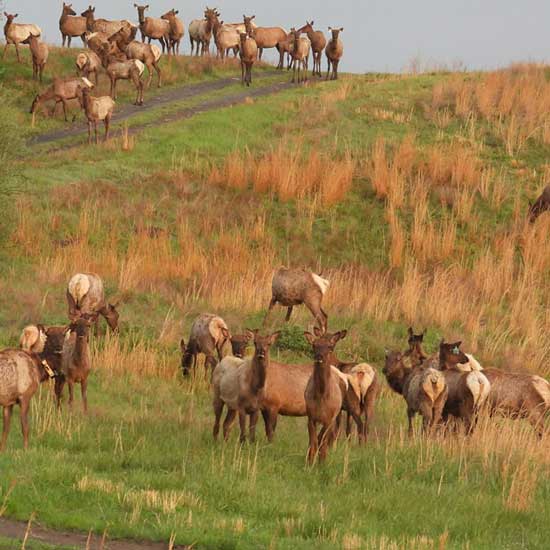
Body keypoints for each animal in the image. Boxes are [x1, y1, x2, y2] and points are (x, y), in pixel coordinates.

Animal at [304, 332, 348, 466]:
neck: (321, 396)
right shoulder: (311, 417)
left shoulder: (329, 419)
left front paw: (321, 463)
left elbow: (322, 441)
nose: (319, 356)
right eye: (314, 345)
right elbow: (313, 442)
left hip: (337, 415)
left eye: (329, 346)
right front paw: (309, 463)